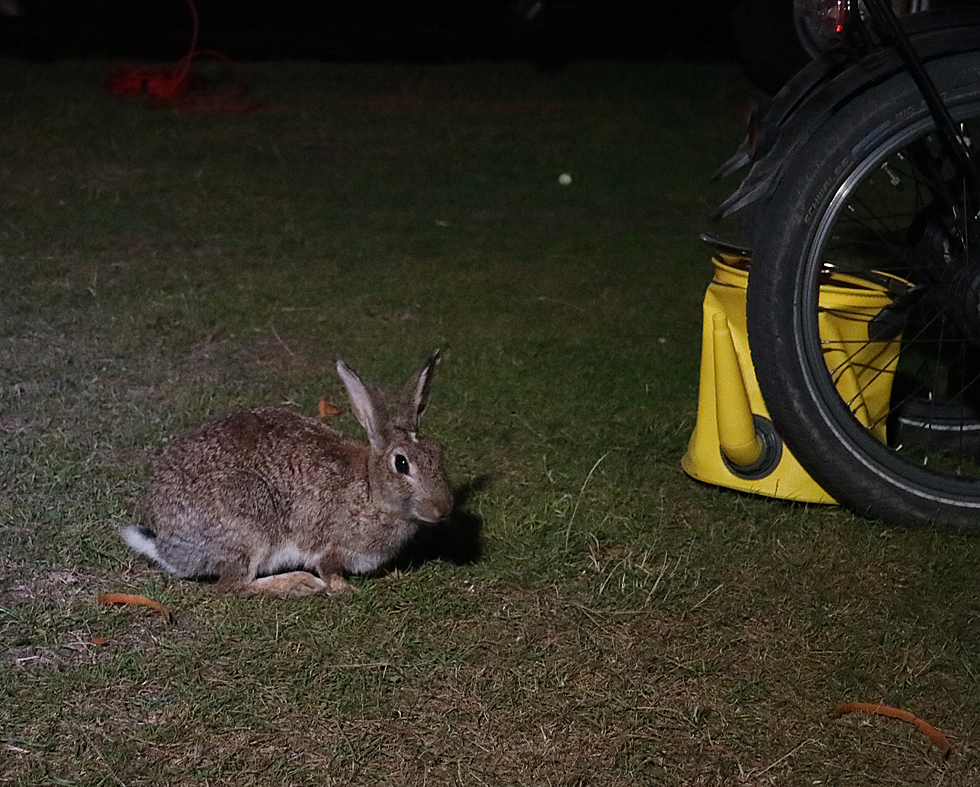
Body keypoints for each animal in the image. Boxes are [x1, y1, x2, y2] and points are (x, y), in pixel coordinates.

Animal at [118, 350, 452, 596]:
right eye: (402, 464)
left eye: (439, 453)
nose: (443, 509)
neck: (371, 491)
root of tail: (167, 548)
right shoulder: (330, 545)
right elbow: (329, 569)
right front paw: (343, 589)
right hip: (249, 523)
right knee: (233, 586)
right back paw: (298, 583)